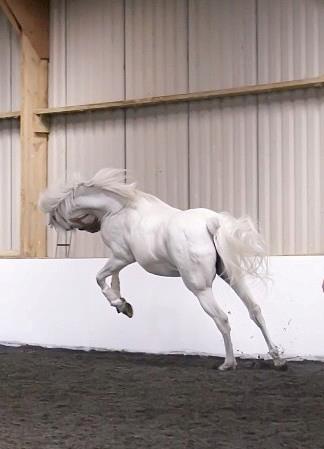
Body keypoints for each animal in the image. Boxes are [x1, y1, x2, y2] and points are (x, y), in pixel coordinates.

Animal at [39, 169, 284, 372]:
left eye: (57, 218)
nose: (91, 228)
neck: (117, 208)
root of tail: (211, 223)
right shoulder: (121, 258)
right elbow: (114, 278)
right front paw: (123, 305)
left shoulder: (121, 256)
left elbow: (100, 278)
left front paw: (119, 303)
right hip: (233, 277)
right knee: (255, 311)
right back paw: (277, 358)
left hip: (200, 288)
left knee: (222, 319)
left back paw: (228, 363)